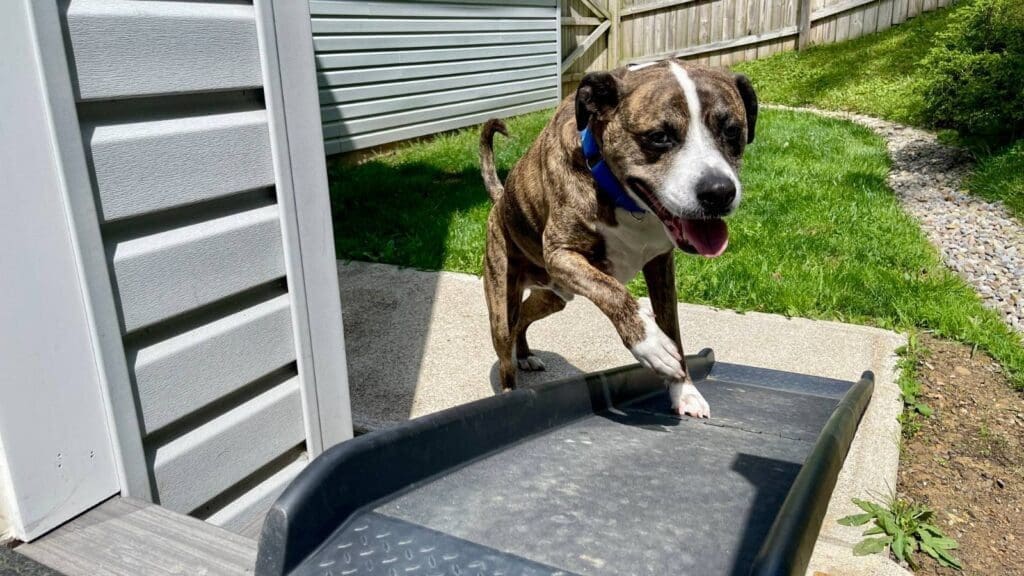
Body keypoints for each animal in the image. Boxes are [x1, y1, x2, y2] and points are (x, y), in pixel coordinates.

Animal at [475, 59, 757, 416]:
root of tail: (500, 200)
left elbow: (673, 327)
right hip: (503, 295)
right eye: (659, 137)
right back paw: (510, 387)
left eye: (732, 131)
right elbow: (614, 293)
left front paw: (684, 390)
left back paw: (524, 354)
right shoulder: (561, 254)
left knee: (524, 316)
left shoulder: (660, 264)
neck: (625, 201)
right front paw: (650, 344)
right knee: (505, 339)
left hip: (553, 296)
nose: (719, 192)